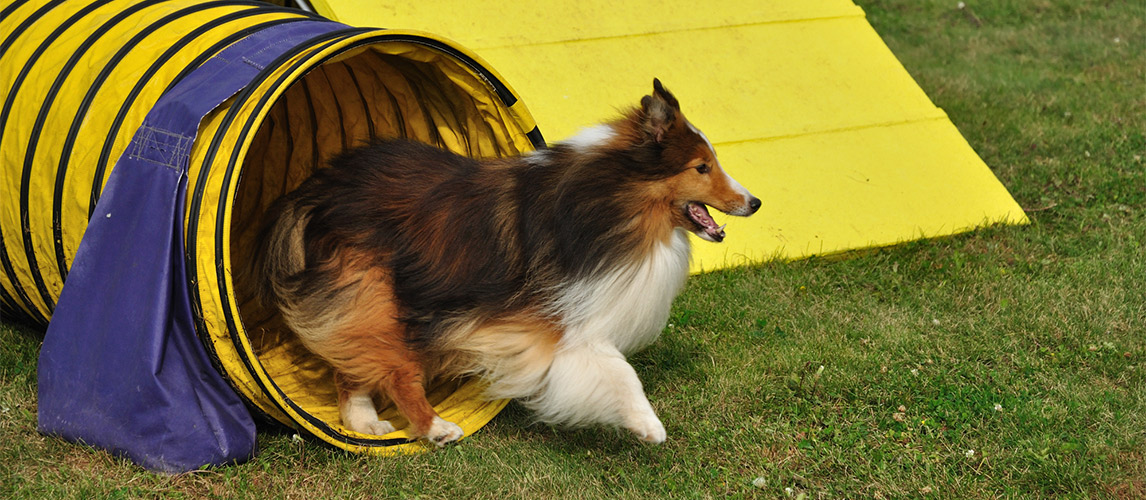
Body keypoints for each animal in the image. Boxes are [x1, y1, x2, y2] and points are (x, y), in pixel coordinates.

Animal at [253, 77, 760, 444]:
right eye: (701, 168)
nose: (754, 202)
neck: (613, 199)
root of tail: (320, 186)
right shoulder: (559, 321)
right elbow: (620, 370)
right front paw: (648, 426)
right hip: (375, 292)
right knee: (395, 369)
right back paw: (436, 428)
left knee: (353, 358)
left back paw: (364, 423)